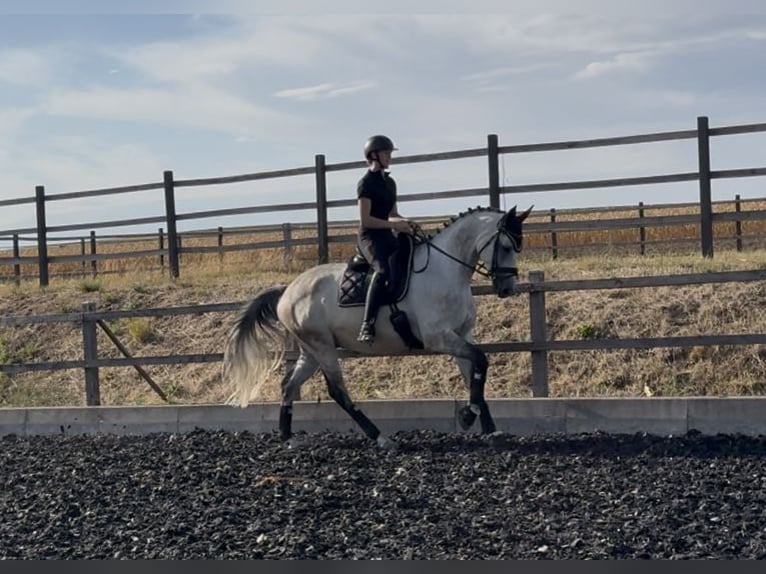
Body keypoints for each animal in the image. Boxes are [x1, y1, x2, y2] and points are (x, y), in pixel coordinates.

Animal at [223, 205, 532, 448]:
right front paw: (469, 416)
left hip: (310, 350)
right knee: (337, 391)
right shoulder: (439, 338)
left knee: (288, 386)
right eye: (506, 247)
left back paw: (288, 438)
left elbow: (475, 373)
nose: (507, 289)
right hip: (322, 347)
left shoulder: (460, 335)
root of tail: (287, 291)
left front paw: (488, 427)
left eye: (518, 248)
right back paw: (380, 437)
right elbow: (482, 359)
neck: (447, 270)